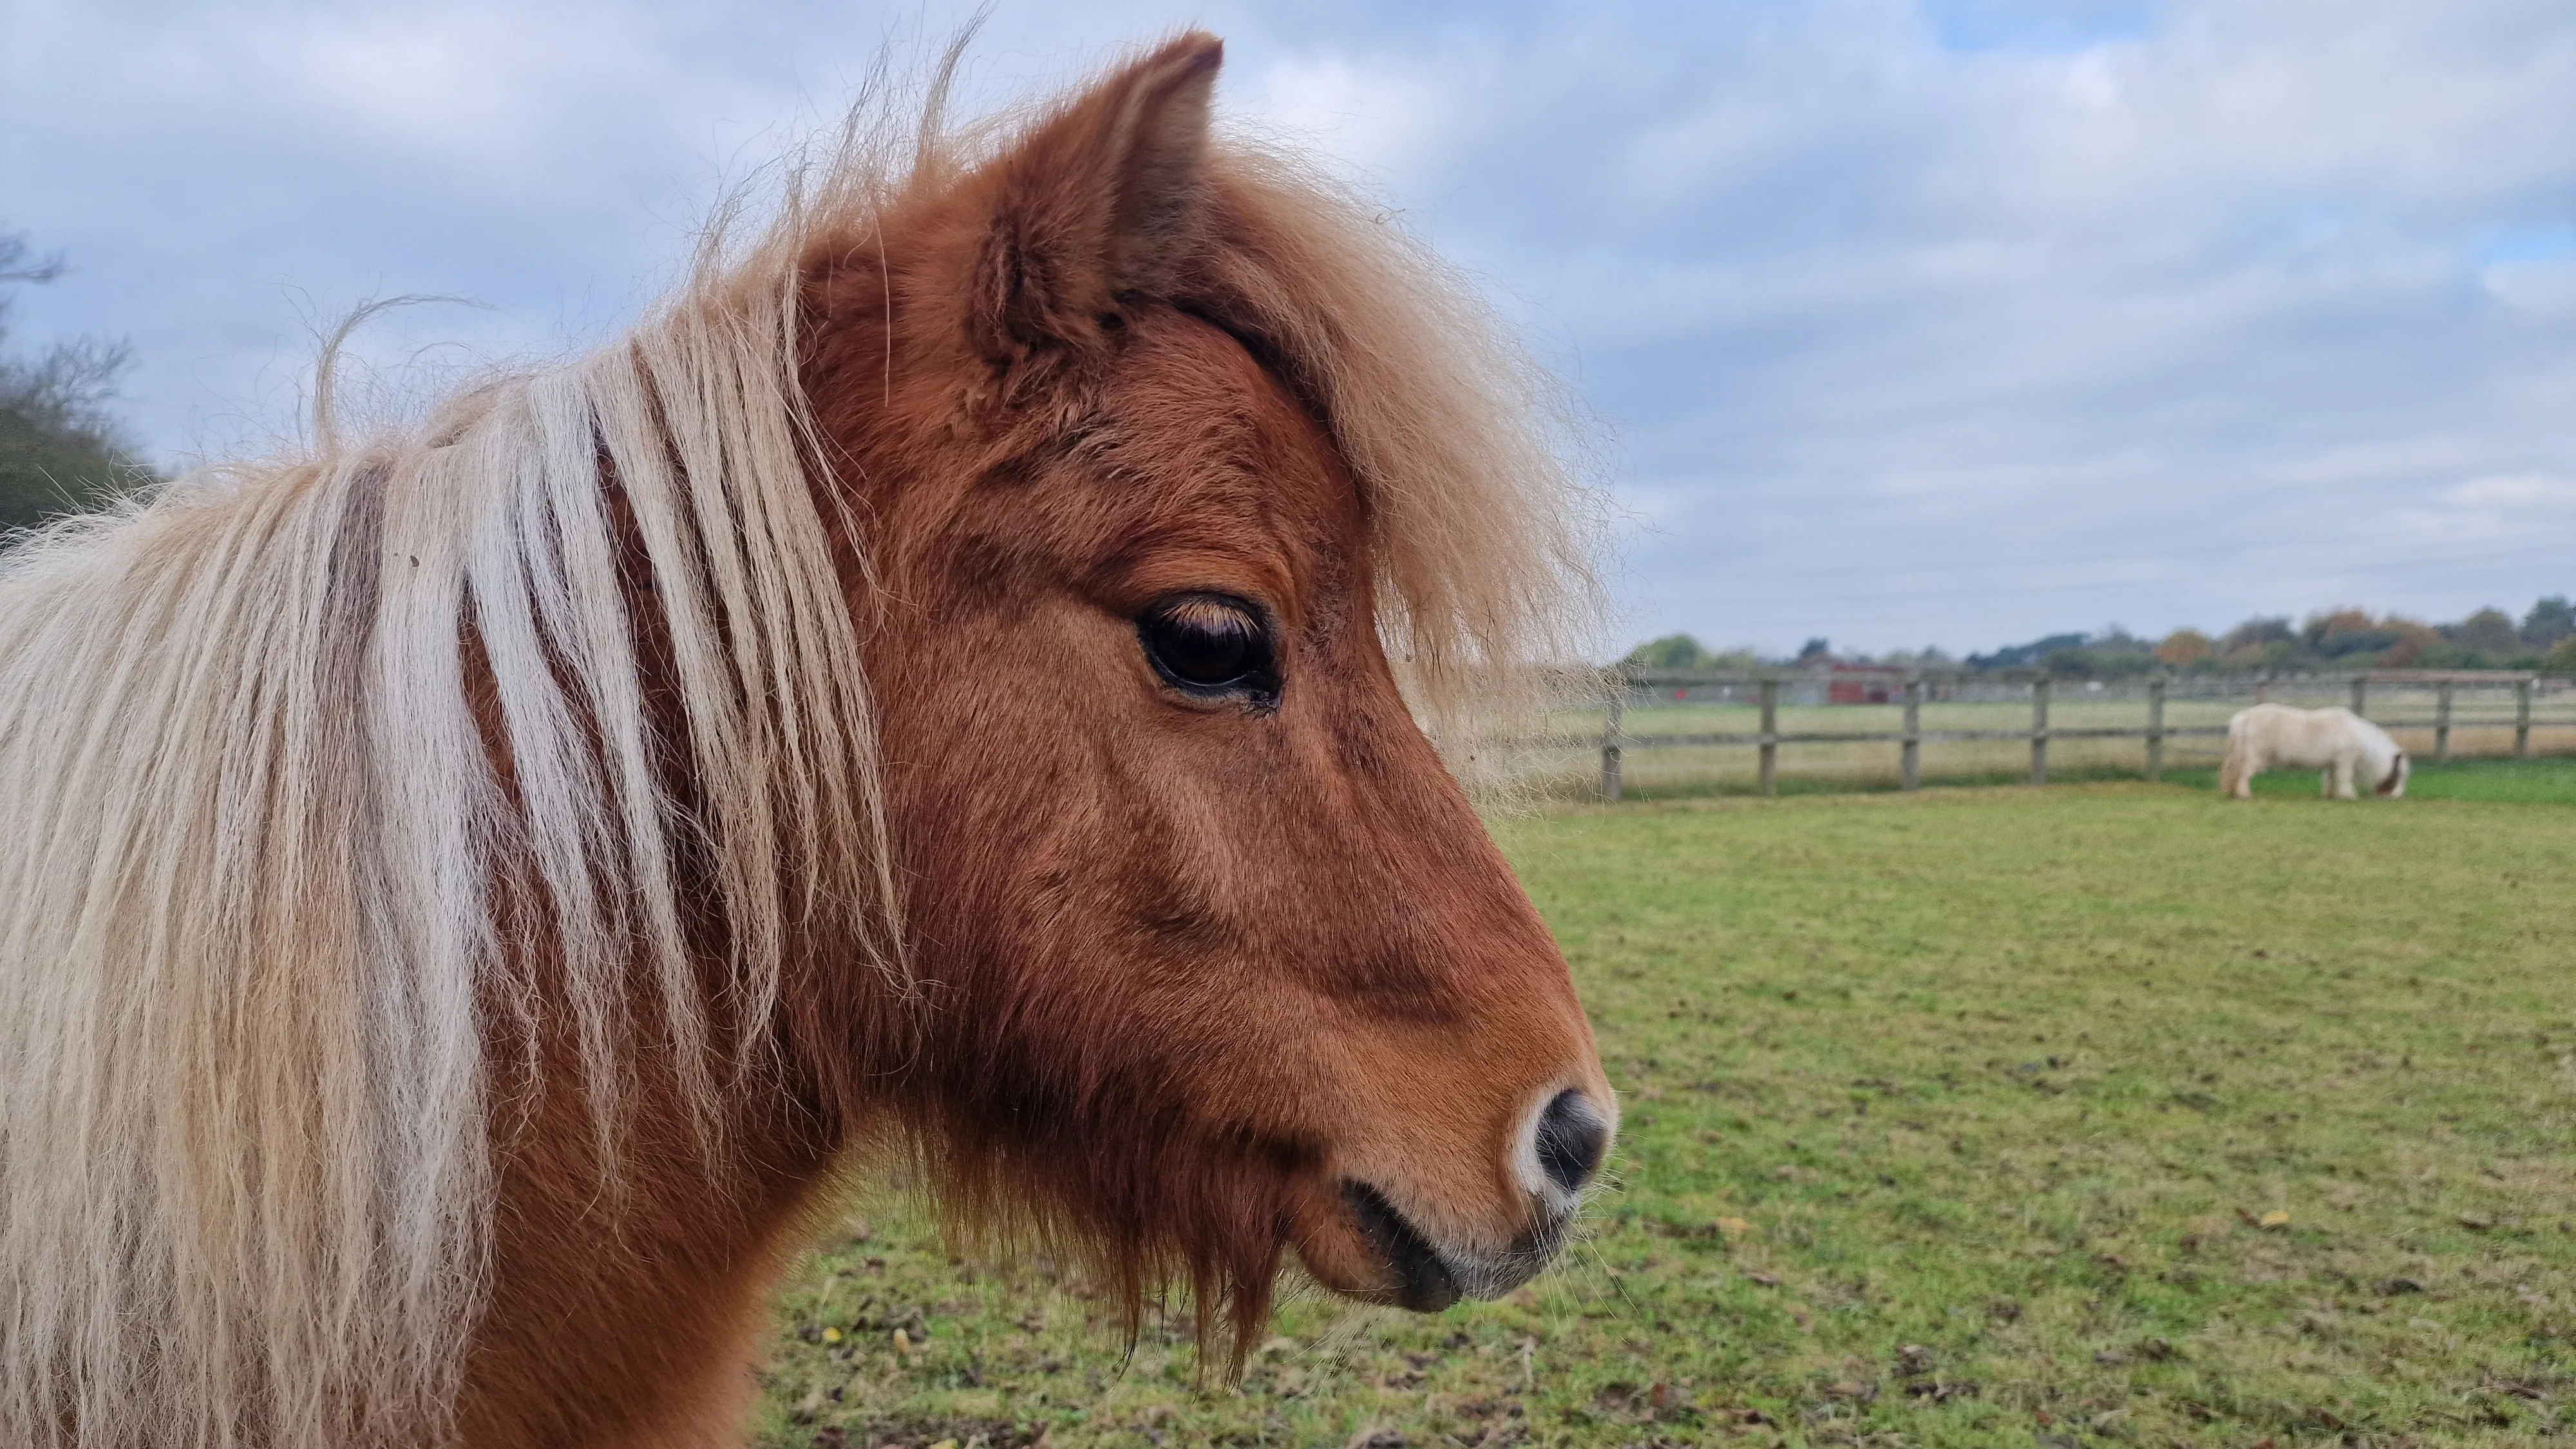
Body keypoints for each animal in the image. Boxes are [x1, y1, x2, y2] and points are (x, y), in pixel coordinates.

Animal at [2219, 703, 2410, 799]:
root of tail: (2242, 719)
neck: (2360, 737)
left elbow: (2330, 779)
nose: (2397, 796)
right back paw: (2244, 794)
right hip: (2254, 758)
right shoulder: (2345, 760)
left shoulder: (2332, 763)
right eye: (2398, 774)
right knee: (2244, 774)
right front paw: (2349, 795)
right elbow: (2345, 778)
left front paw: (2330, 795)